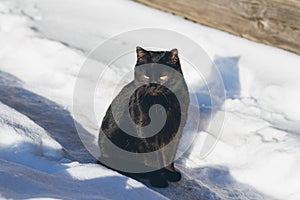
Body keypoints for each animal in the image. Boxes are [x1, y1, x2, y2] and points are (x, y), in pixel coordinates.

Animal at [97, 46, 189, 188]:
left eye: (163, 76)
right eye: (146, 76)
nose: (153, 85)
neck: (160, 104)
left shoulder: (175, 131)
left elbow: (169, 155)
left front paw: (170, 173)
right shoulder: (147, 133)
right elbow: (154, 160)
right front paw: (158, 180)